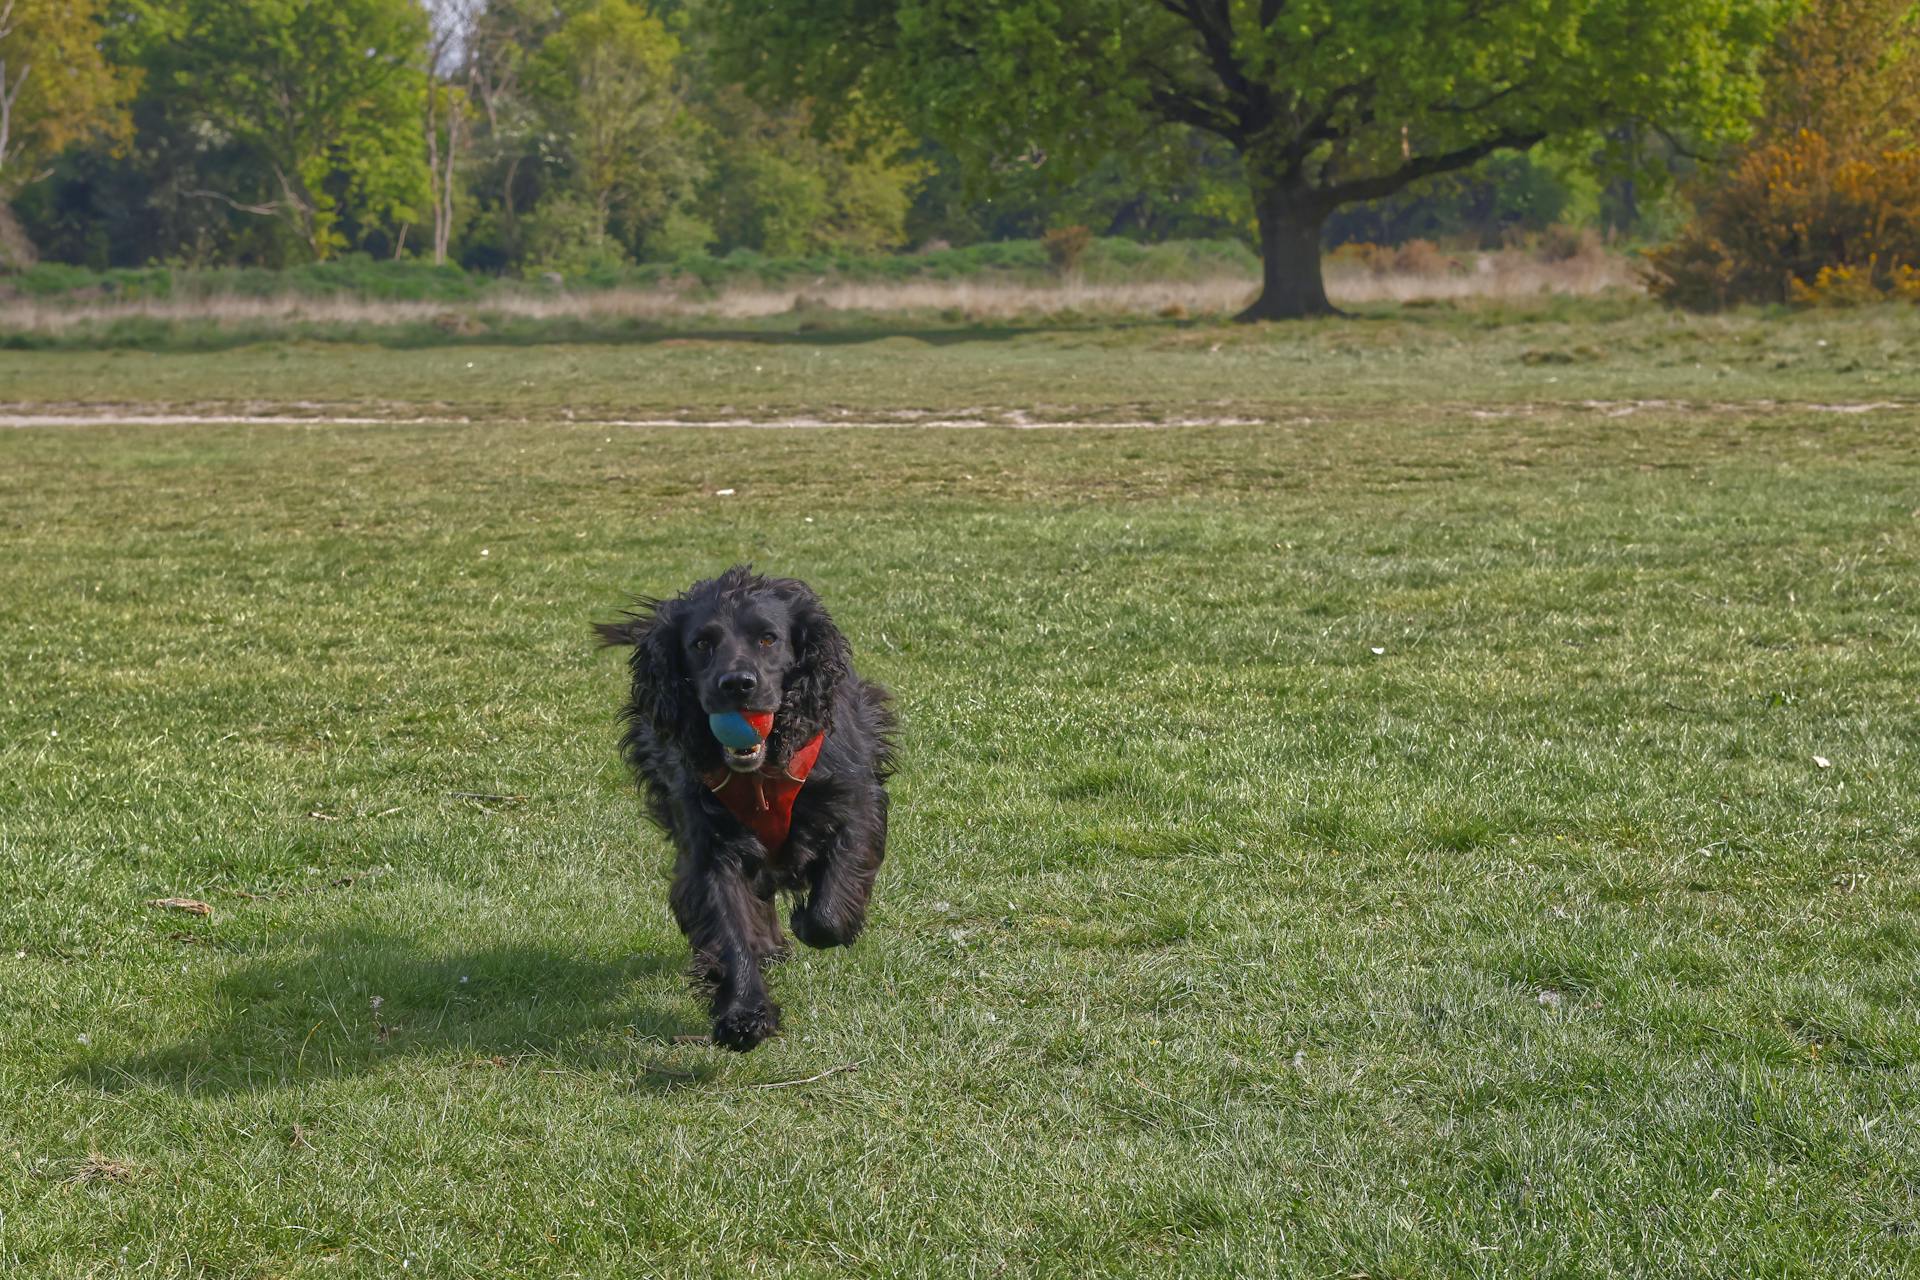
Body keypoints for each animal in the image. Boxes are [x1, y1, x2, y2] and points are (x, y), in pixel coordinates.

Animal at [595, 568, 894, 1051]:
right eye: (701, 643)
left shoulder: (855, 800)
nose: (737, 684)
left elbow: (829, 910)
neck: (762, 773)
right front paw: (744, 1014)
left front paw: (814, 920)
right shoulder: (710, 847)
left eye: (768, 639)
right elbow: (729, 924)